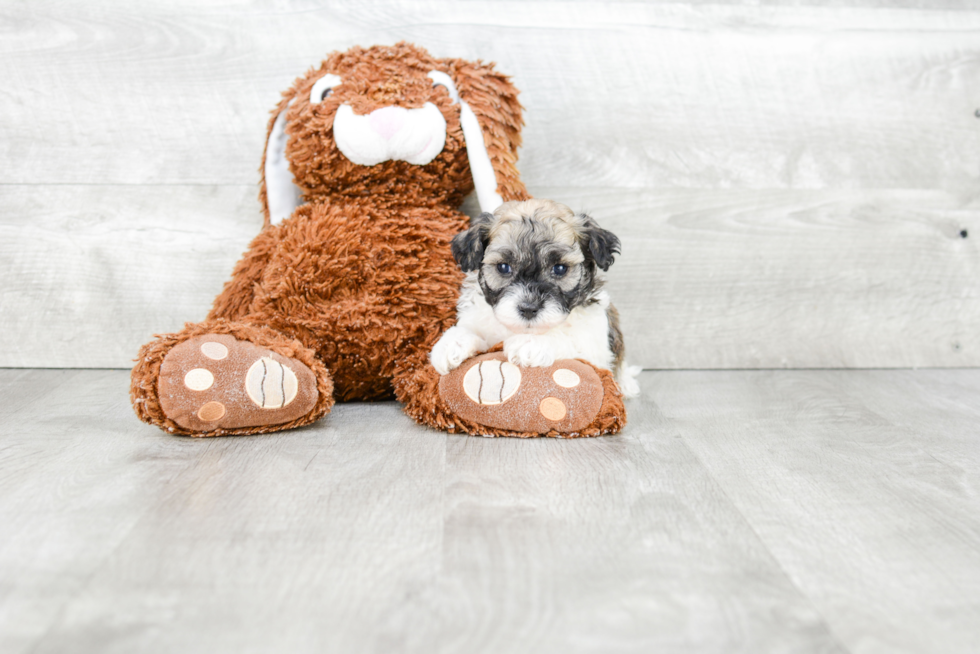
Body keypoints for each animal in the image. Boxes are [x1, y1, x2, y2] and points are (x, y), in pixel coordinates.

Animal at [432, 197, 640, 398]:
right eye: (503, 267)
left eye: (560, 268)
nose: (528, 308)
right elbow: (467, 331)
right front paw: (451, 344)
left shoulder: (595, 347)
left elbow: (568, 338)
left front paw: (531, 343)